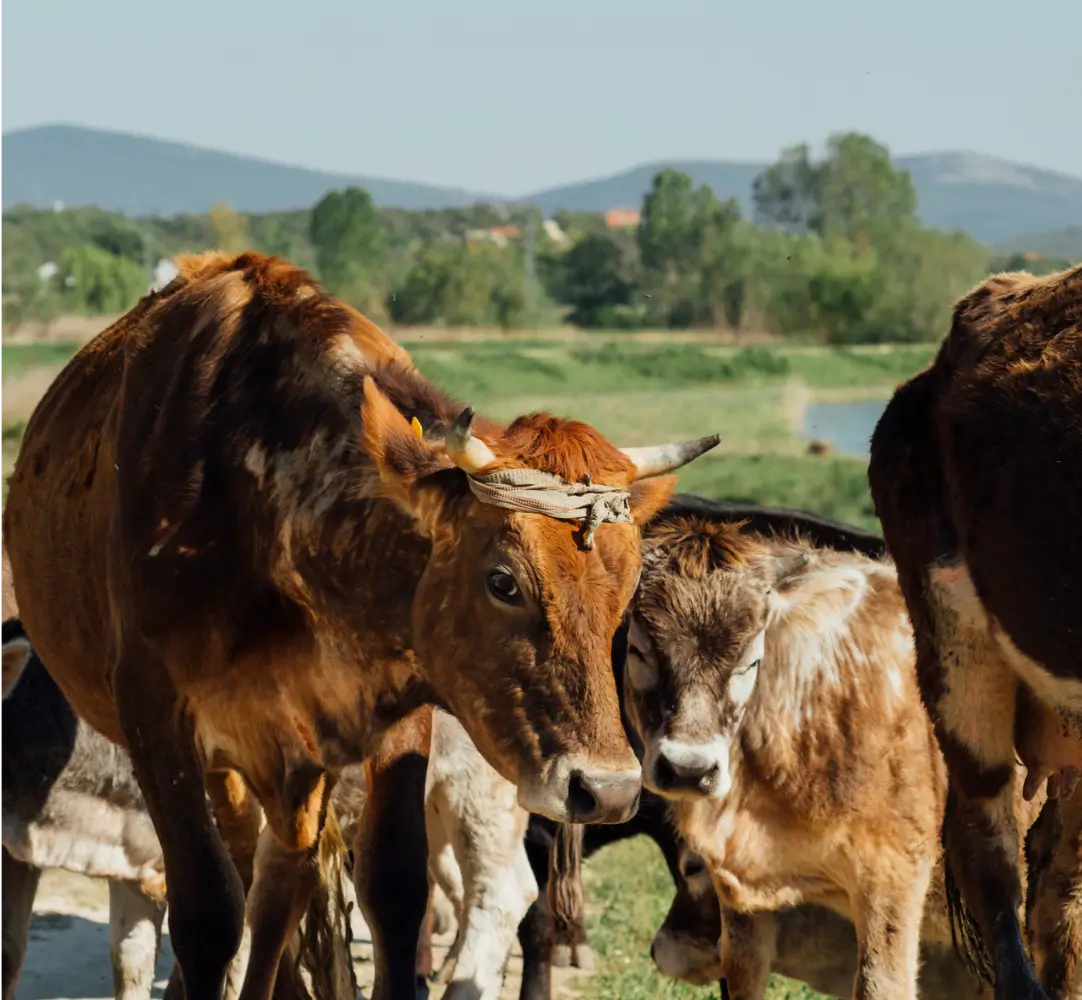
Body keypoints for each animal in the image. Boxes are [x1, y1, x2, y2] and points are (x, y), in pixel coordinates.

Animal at [4, 250, 722, 1000]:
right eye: (502, 581)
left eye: (628, 584)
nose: (608, 789)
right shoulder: (155, 717)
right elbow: (205, 910)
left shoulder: (396, 709)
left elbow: (396, 888)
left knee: (279, 882)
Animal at [623, 515, 1051, 1000]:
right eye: (638, 650)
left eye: (750, 660)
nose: (687, 769)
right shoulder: (739, 888)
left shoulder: (893, 873)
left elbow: (879, 984)